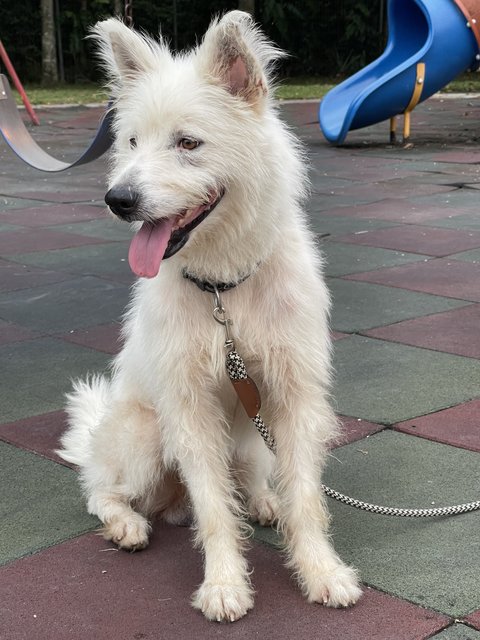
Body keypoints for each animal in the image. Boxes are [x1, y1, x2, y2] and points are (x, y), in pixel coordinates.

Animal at [58, 10, 362, 620]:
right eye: (131, 141)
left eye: (188, 142)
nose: (118, 199)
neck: (223, 288)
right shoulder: (190, 409)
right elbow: (216, 510)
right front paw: (224, 584)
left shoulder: (294, 395)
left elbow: (305, 495)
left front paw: (321, 571)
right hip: (145, 437)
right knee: (103, 491)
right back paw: (126, 524)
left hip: (254, 432)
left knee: (251, 478)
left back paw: (264, 501)